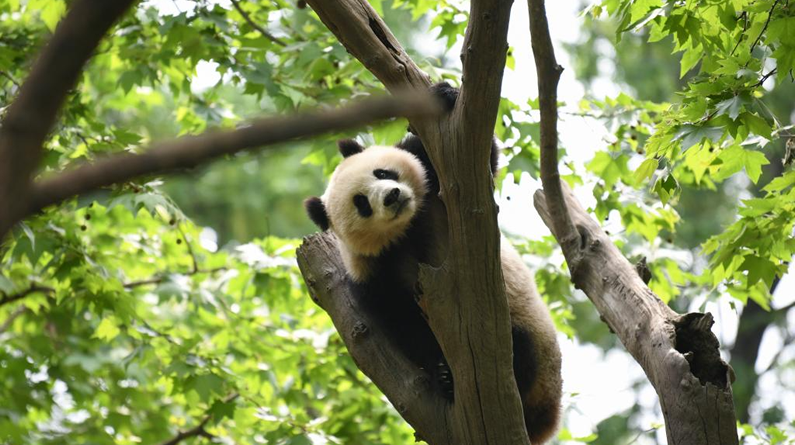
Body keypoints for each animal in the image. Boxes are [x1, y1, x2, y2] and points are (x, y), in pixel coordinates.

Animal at [306, 81, 564, 442]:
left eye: (382, 172)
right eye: (361, 203)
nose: (392, 196)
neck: (410, 226)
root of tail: (546, 421)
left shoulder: (437, 181)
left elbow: (480, 163)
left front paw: (445, 95)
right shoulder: (374, 272)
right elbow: (403, 323)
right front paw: (439, 370)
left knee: (520, 349)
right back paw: (449, 381)